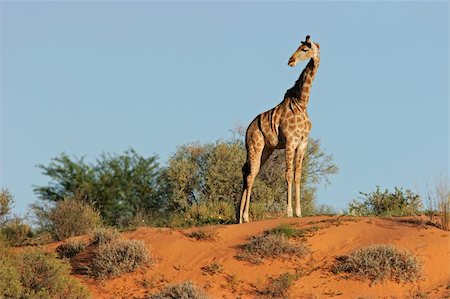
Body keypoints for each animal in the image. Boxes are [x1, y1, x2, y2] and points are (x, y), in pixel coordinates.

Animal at [239, 35, 320, 224]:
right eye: (299, 47)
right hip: (255, 146)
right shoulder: (290, 141)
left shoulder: (302, 143)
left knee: (247, 171)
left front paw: (299, 212)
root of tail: (248, 129)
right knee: (250, 174)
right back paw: (245, 217)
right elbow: (288, 174)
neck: (301, 103)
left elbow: (298, 175)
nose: (291, 61)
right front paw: (289, 212)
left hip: (267, 149)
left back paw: (238, 218)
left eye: (305, 49)